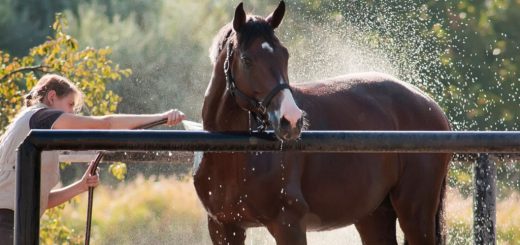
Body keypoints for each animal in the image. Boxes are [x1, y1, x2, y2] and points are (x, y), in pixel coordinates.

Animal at [195, 0, 450, 244]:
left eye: (285, 55)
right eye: (247, 59)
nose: (291, 120)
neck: (233, 154)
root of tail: (430, 104)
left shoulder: (288, 225)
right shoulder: (224, 228)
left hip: (415, 215)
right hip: (374, 216)